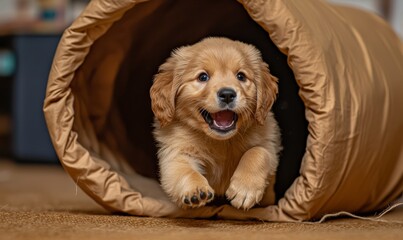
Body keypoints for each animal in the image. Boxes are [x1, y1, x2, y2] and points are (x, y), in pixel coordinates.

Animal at [151, 37, 280, 210]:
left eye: (241, 76)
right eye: (203, 77)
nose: (227, 94)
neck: (220, 142)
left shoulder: (269, 143)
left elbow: (258, 152)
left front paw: (245, 189)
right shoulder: (174, 152)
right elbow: (184, 169)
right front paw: (195, 189)